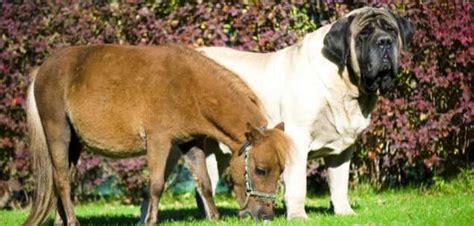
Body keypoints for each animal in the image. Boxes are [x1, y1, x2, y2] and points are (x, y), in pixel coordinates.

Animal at [24, 44, 290, 226]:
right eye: (260, 170)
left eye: (280, 170)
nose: (266, 215)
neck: (189, 86)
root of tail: (42, 69)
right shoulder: (158, 141)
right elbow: (156, 184)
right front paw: (151, 220)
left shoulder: (191, 143)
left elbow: (204, 183)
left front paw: (214, 218)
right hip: (59, 134)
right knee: (62, 179)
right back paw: (72, 221)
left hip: (75, 144)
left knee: (61, 178)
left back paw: (61, 221)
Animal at [193, 7, 414, 219]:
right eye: (363, 34)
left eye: (392, 30)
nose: (384, 41)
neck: (346, 87)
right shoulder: (297, 139)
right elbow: (298, 185)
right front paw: (298, 216)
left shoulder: (342, 150)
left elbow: (340, 184)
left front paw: (344, 212)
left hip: (218, 151)